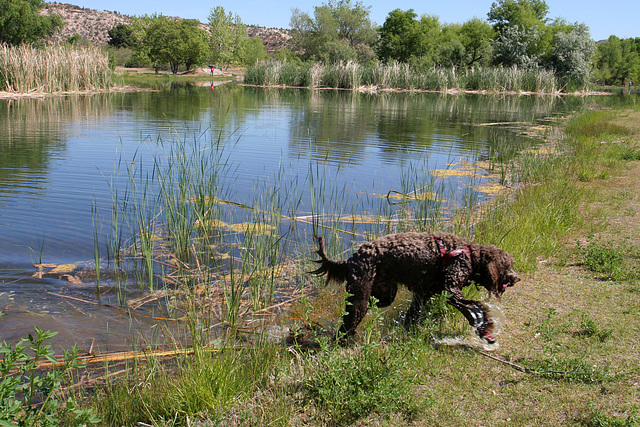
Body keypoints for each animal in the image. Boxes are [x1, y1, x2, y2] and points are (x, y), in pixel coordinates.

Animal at [310, 231, 520, 344]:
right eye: (508, 266)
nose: (517, 278)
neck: (468, 255)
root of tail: (350, 260)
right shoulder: (450, 290)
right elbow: (474, 310)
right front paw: (485, 329)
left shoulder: (423, 295)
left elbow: (412, 316)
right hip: (360, 296)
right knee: (347, 324)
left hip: (383, 294)